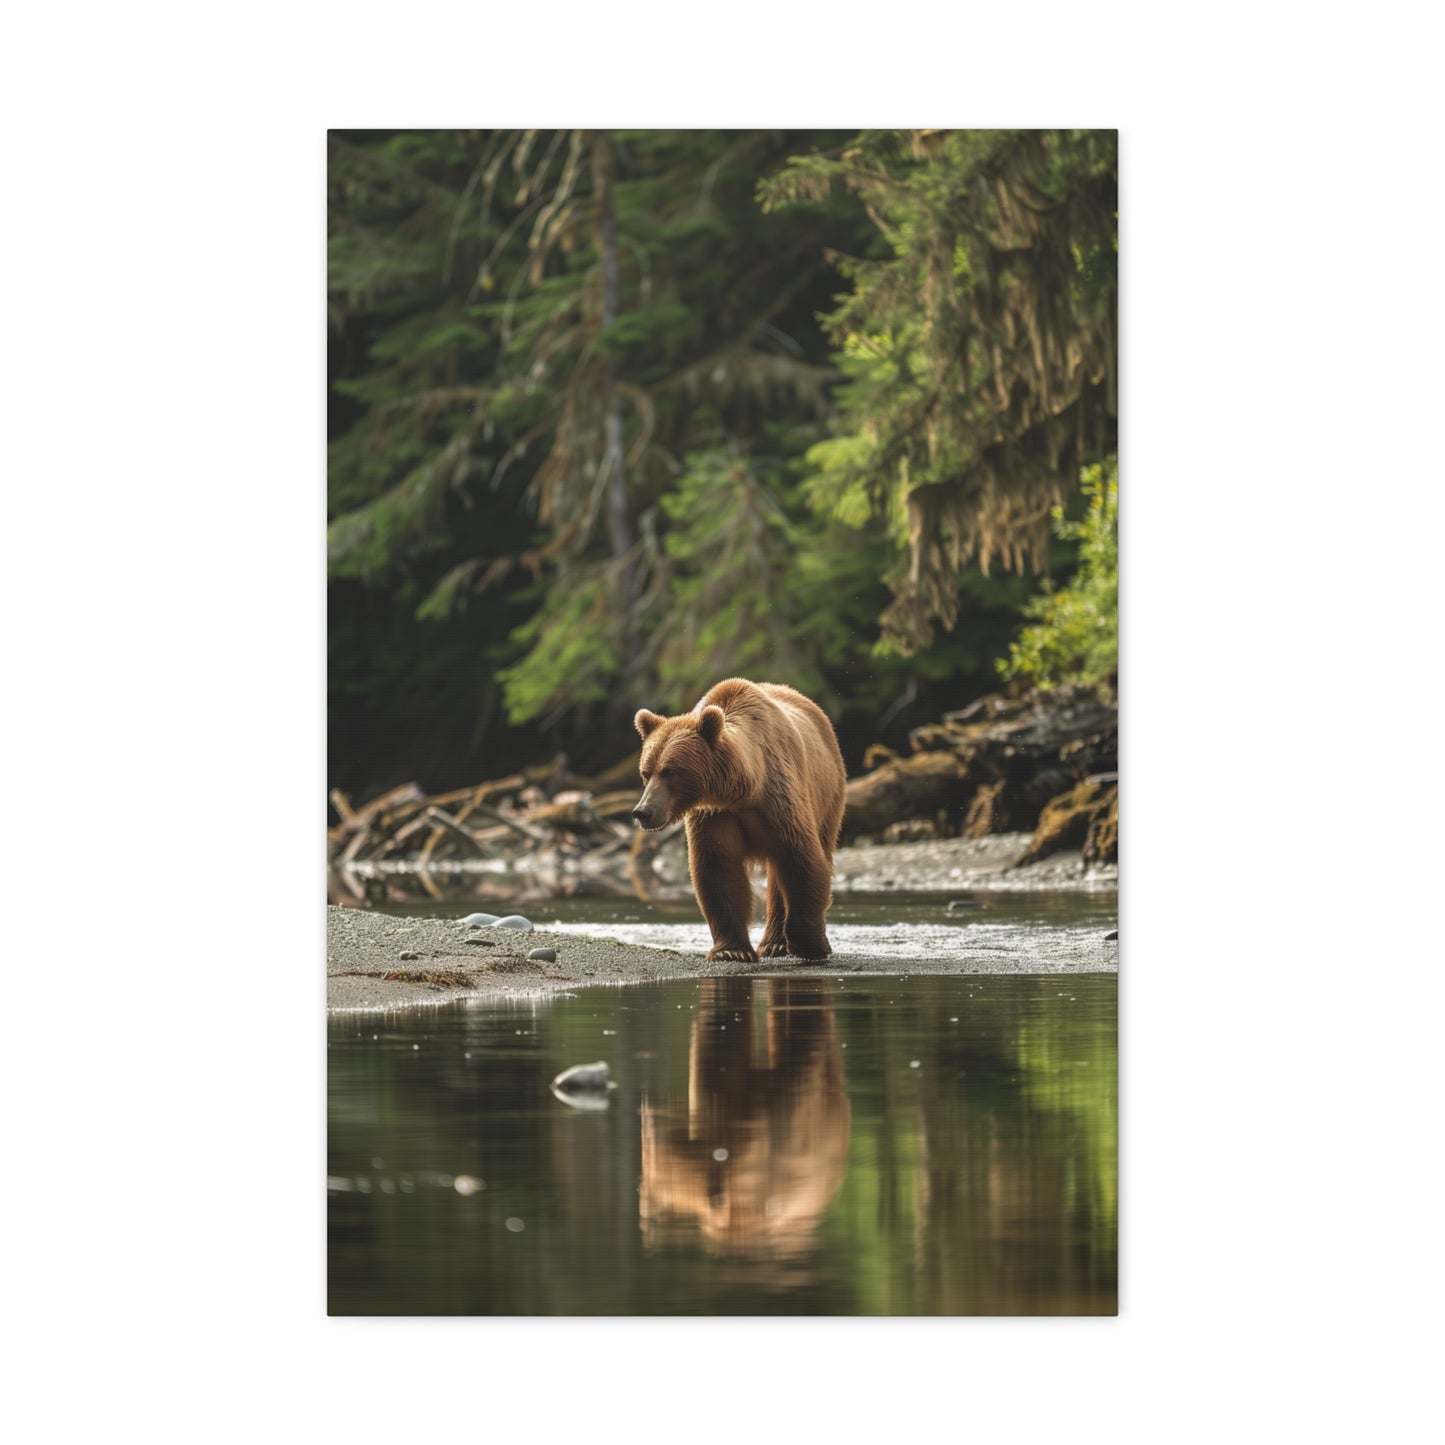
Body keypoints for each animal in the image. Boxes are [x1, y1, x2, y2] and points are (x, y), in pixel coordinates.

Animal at [632, 676, 843, 959]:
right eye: (646, 772)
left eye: (670, 772)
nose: (642, 812)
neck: (743, 790)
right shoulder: (715, 815)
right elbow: (718, 868)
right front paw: (731, 951)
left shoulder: (777, 801)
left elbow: (800, 859)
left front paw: (811, 945)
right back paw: (773, 943)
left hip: (828, 796)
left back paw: (776, 943)